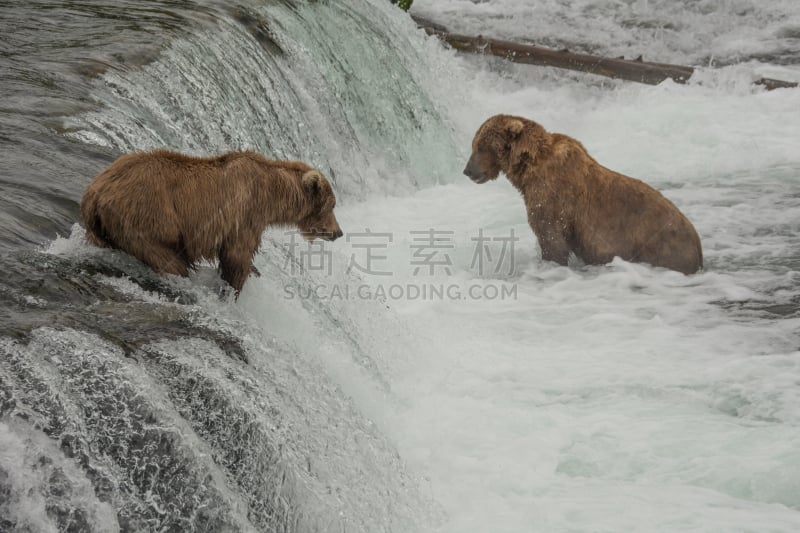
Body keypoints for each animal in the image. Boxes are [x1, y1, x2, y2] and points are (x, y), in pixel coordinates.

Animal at [79, 150, 342, 296]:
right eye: (332, 205)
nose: (338, 232)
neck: (272, 195)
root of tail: (94, 193)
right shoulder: (246, 214)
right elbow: (237, 256)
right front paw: (233, 289)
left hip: (102, 229)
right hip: (145, 221)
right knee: (169, 261)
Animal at [466, 115, 704, 274]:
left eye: (480, 147)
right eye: (474, 145)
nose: (467, 170)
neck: (528, 169)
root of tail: (698, 246)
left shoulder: (552, 197)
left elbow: (551, 238)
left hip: (661, 248)